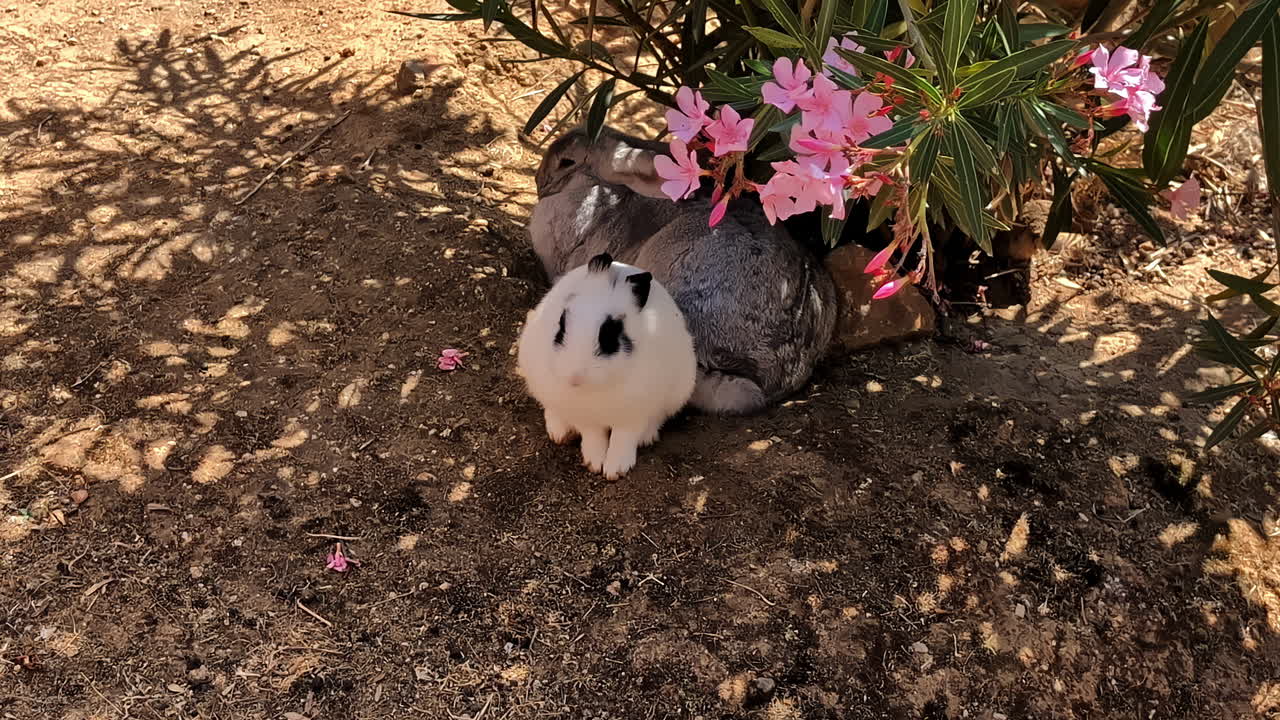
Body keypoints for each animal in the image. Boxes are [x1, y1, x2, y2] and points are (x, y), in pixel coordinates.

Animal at [516, 251, 697, 479]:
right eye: (561, 326)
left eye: (610, 336)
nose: (574, 377)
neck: (598, 388)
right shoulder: (584, 417)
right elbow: (593, 436)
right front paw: (594, 461)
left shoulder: (634, 414)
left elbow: (623, 438)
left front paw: (615, 469)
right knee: (550, 406)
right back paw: (560, 432)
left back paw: (647, 437)